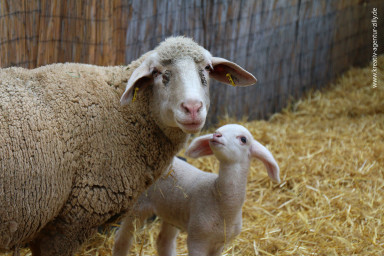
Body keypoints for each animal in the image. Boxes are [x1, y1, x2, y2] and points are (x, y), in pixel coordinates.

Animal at [112, 124, 280, 256]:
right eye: (218, 130)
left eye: (243, 139)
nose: (216, 135)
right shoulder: (197, 239)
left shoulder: (219, 243)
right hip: (138, 207)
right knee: (121, 239)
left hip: (171, 212)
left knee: (163, 242)